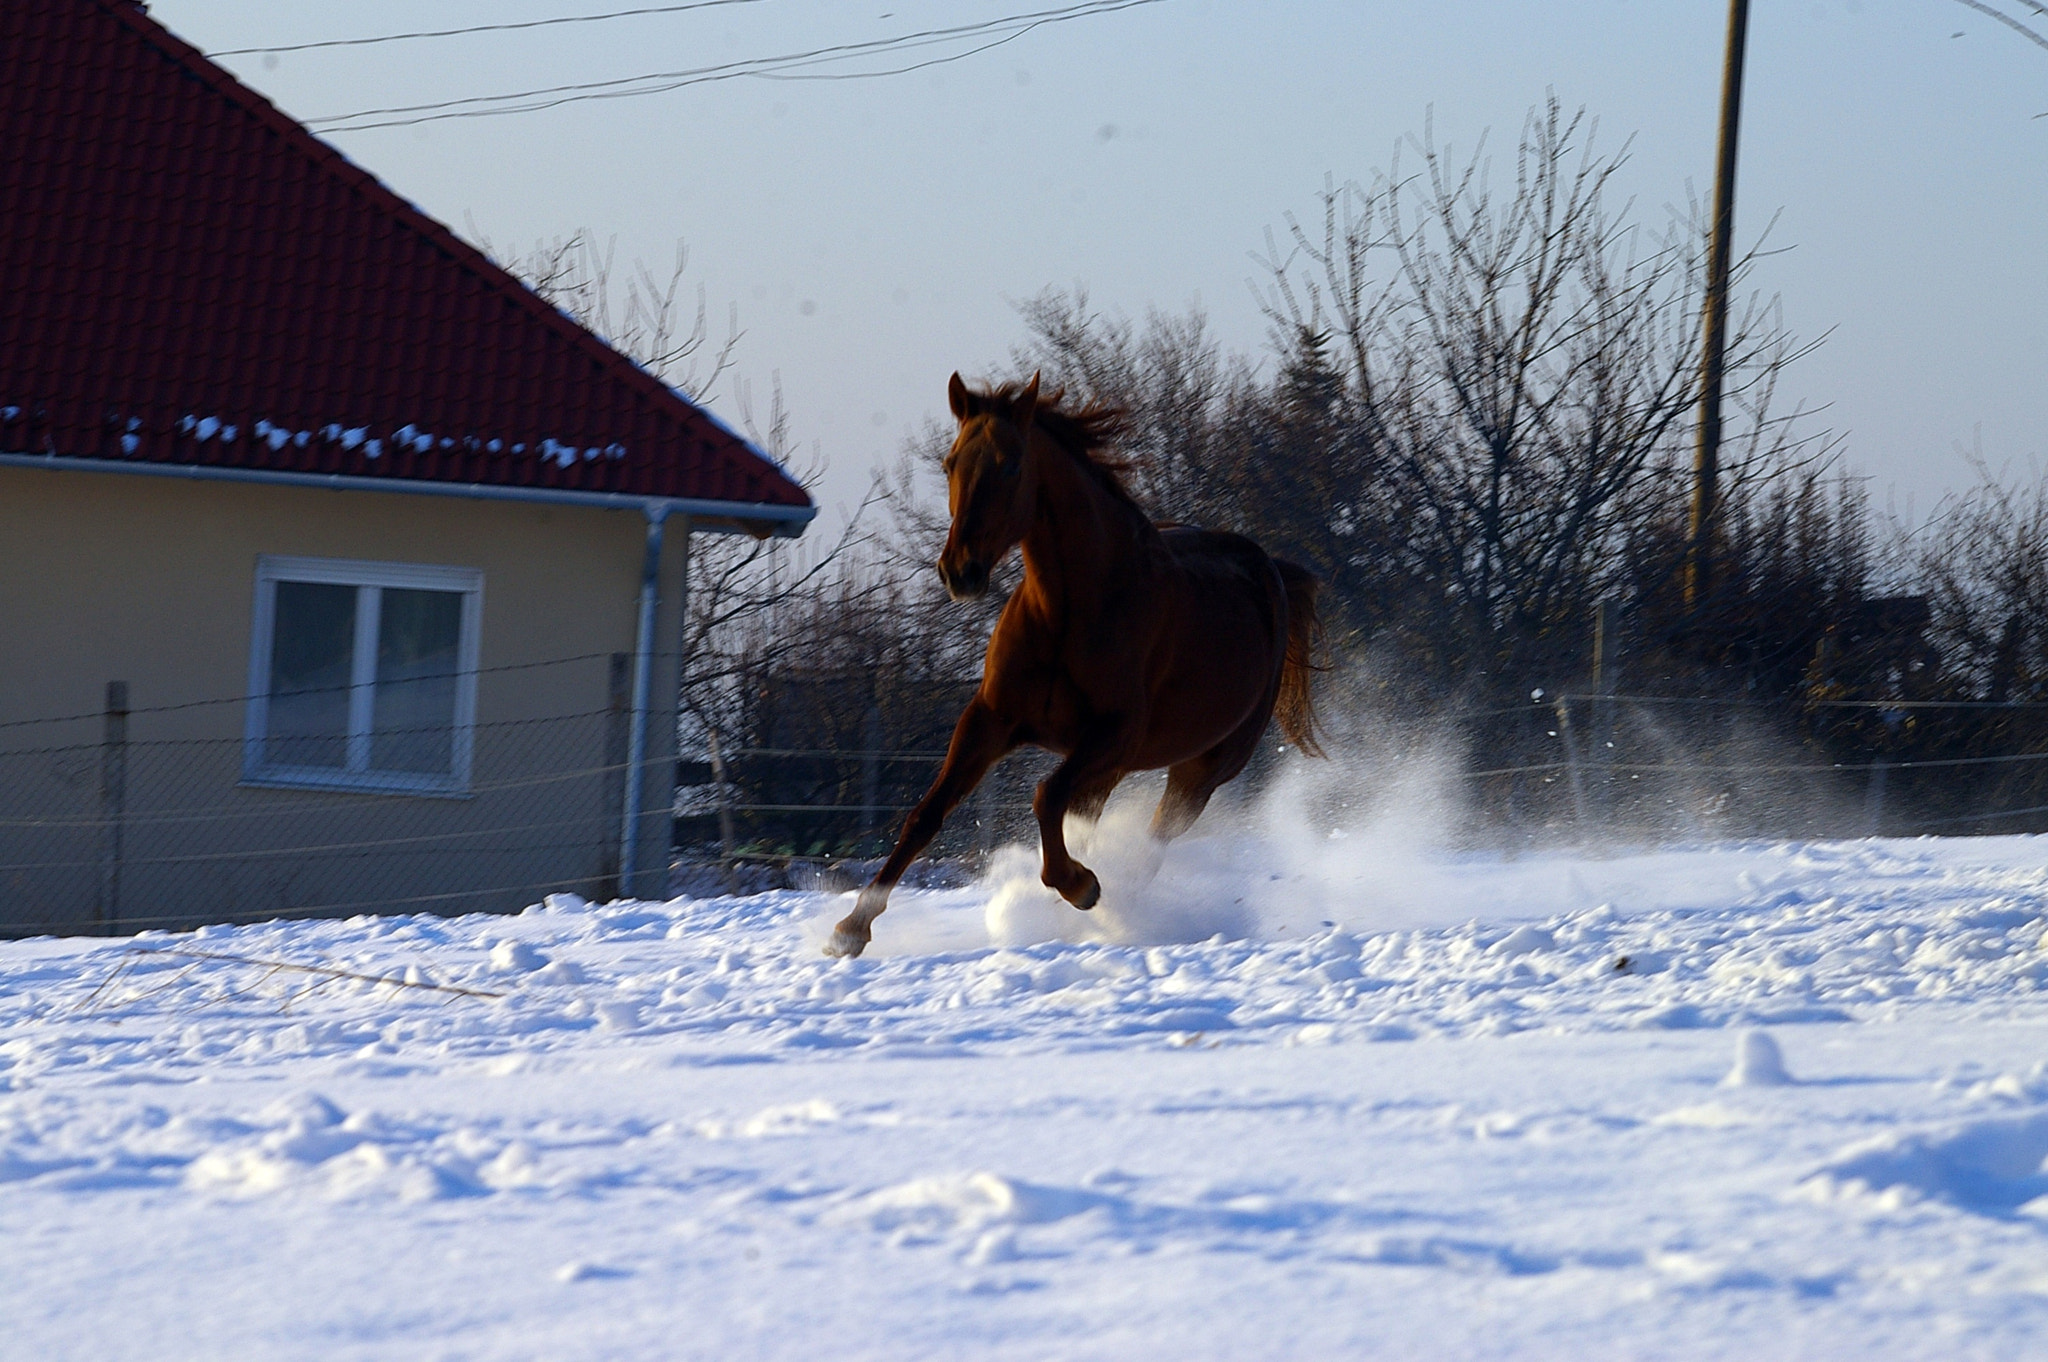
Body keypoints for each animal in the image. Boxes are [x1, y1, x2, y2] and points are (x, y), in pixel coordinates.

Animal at [827, 372, 1327, 954]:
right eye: (951, 462)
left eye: (1011, 465)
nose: (960, 571)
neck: (1068, 609)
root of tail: (1271, 570)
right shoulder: (989, 721)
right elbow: (926, 815)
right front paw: (850, 928)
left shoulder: (1114, 733)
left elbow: (1045, 796)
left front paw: (1079, 884)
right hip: (1112, 768)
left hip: (1201, 768)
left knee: (1150, 841)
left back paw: (1106, 907)